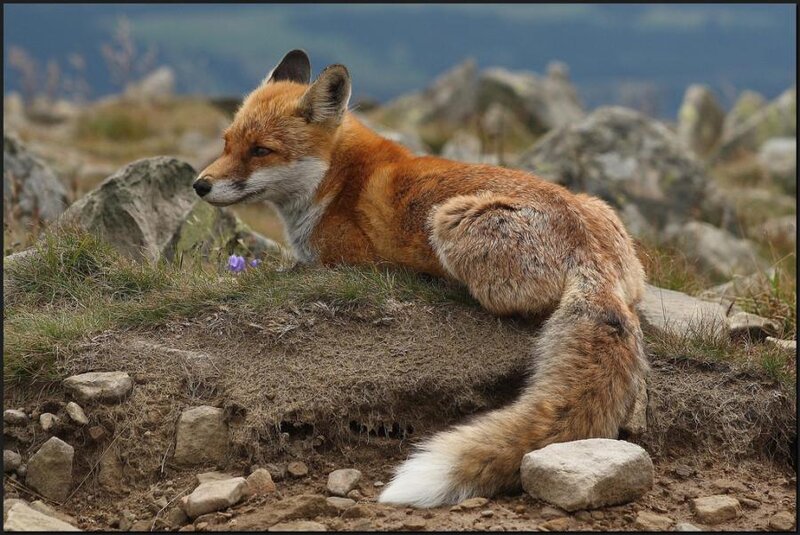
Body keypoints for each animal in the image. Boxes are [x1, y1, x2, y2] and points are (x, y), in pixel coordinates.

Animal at [194, 49, 650, 508]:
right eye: (227, 143)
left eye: (261, 150)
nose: (200, 185)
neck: (336, 181)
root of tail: (588, 250)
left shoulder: (344, 262)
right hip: (596, 211)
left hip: (449, 219)